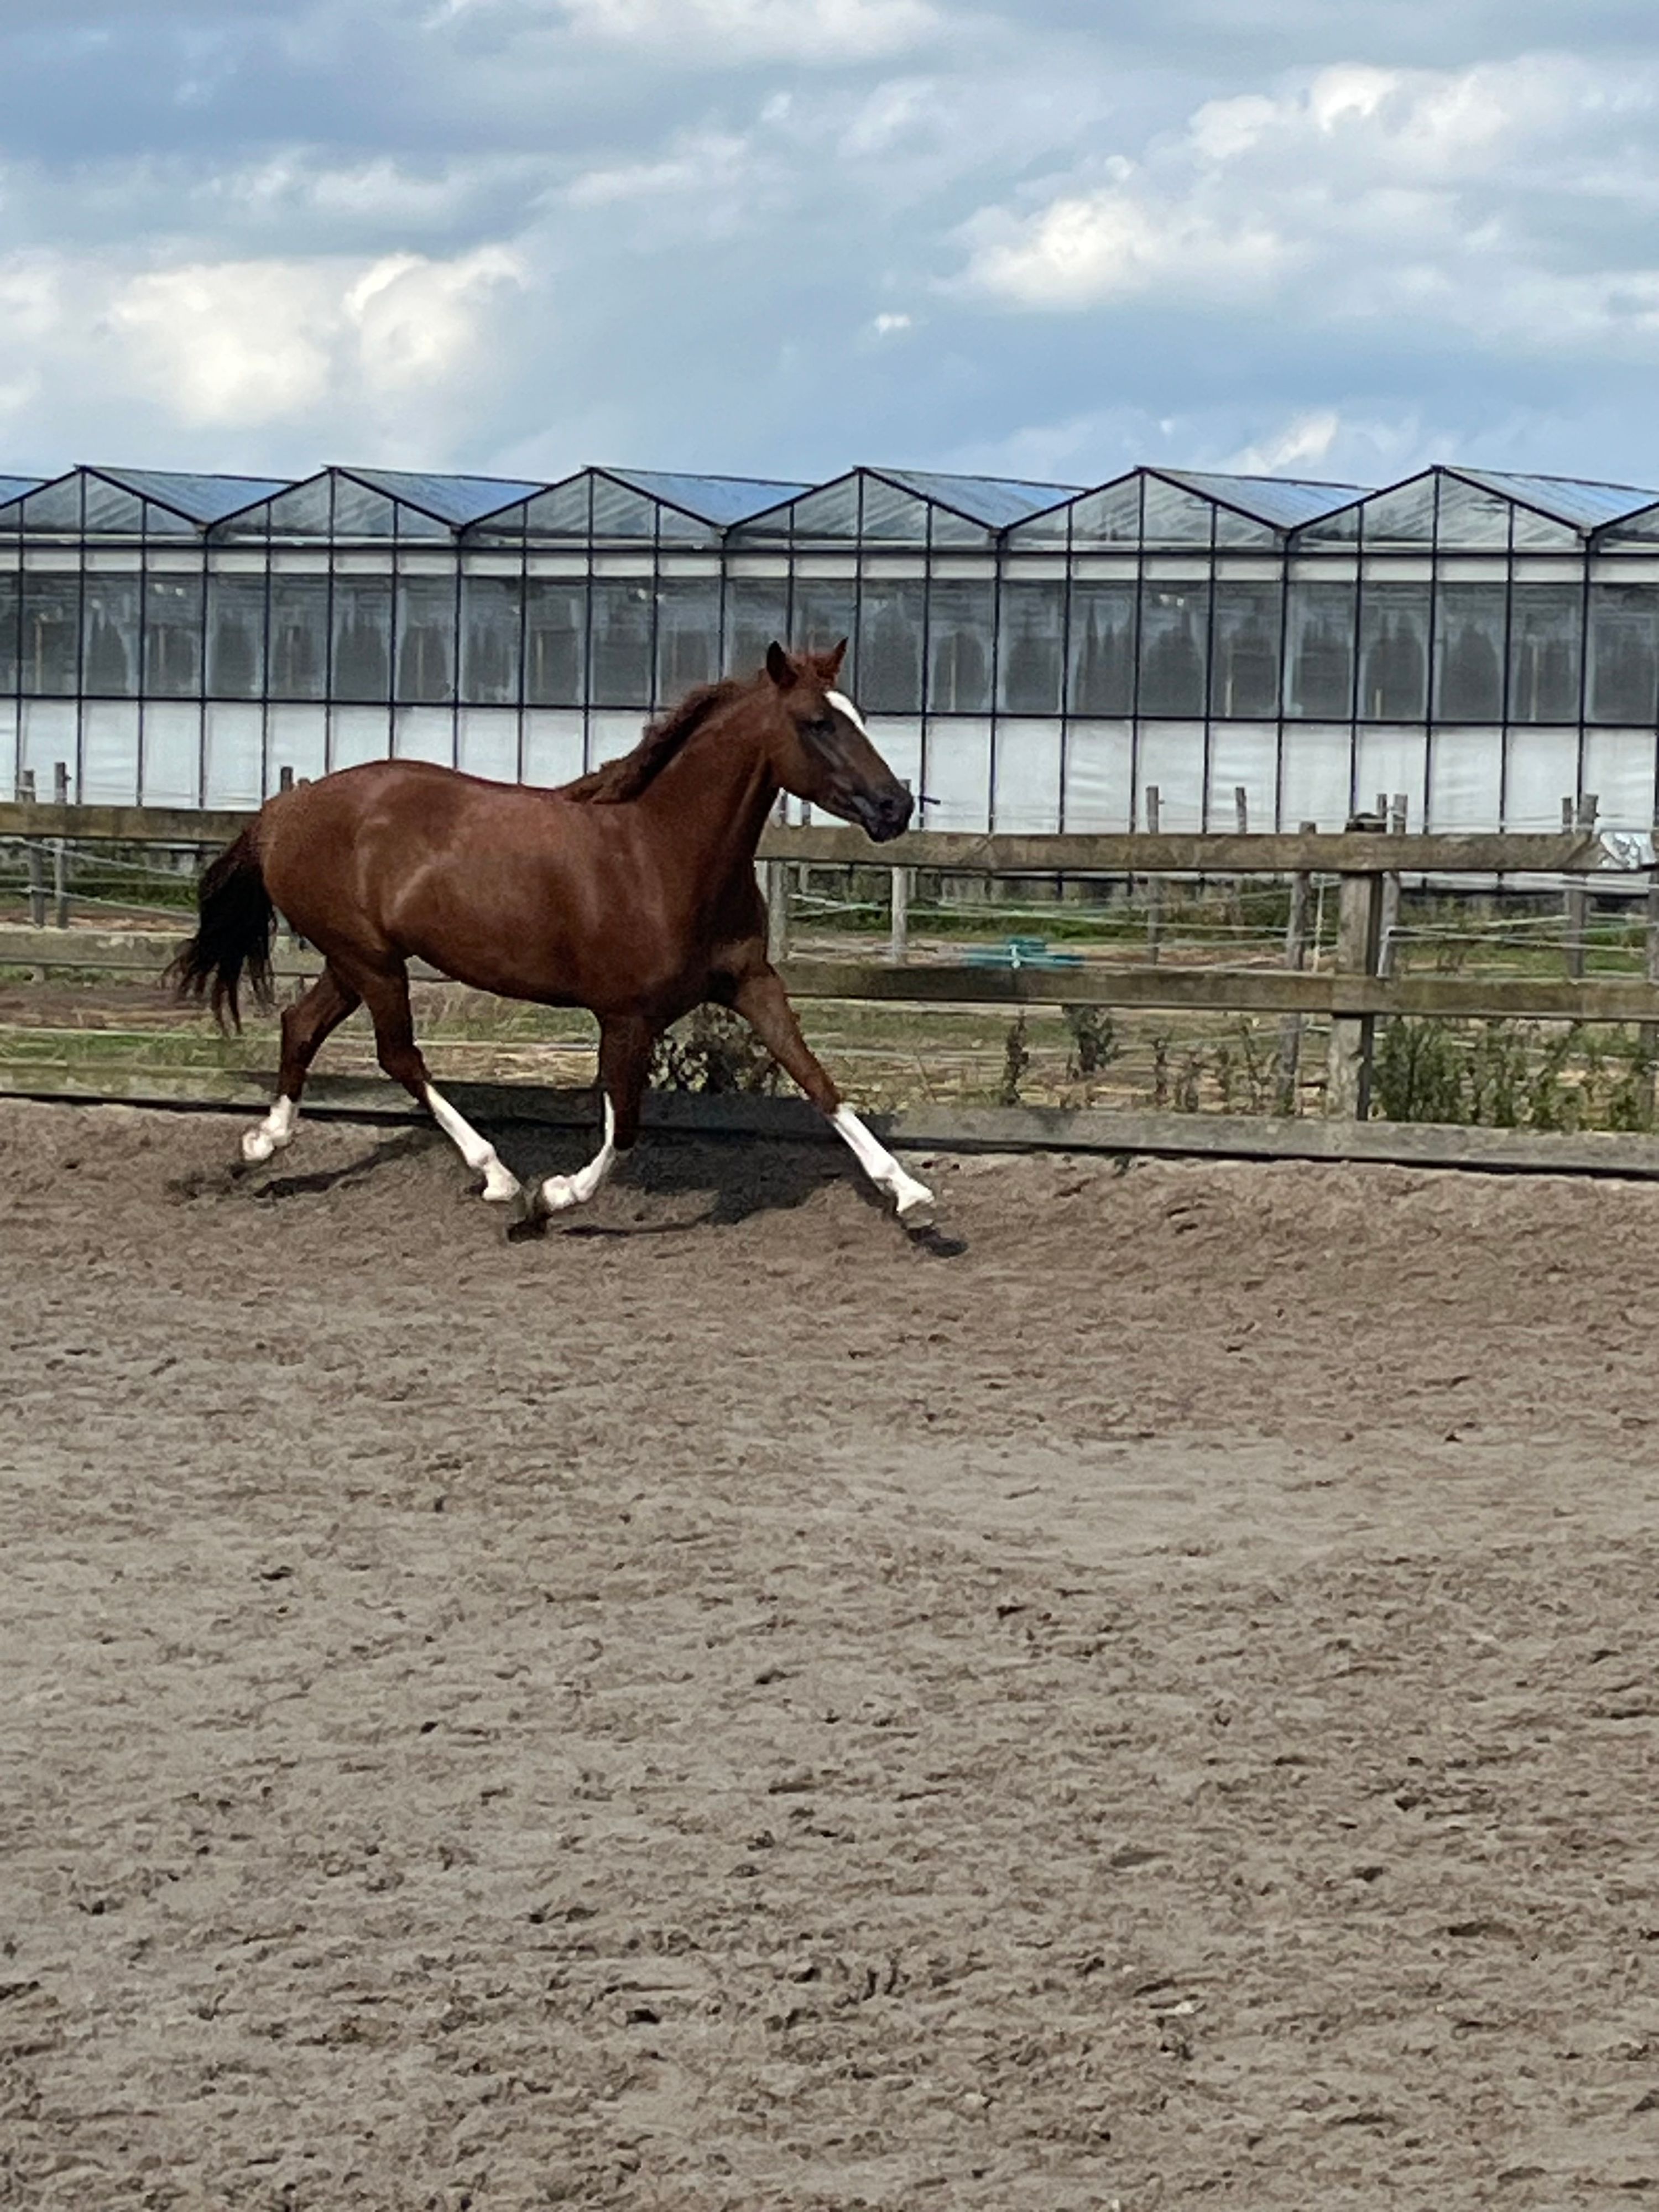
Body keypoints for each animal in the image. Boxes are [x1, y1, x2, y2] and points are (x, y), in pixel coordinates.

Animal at [167, 641, 936, 1229]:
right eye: (817, 723)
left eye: (858, 716)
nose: (895, 806)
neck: (661, 854)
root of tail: (284, 810)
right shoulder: (626, 1016)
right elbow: (625, 1124)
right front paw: (552, 1197)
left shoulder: (750, 982)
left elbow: (817, 1079)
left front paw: (912, 1197)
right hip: (373, 962)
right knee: (399, 1056)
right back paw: (498, 1176)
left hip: (353, 960)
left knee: (302, 1025)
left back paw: (262, 1144)